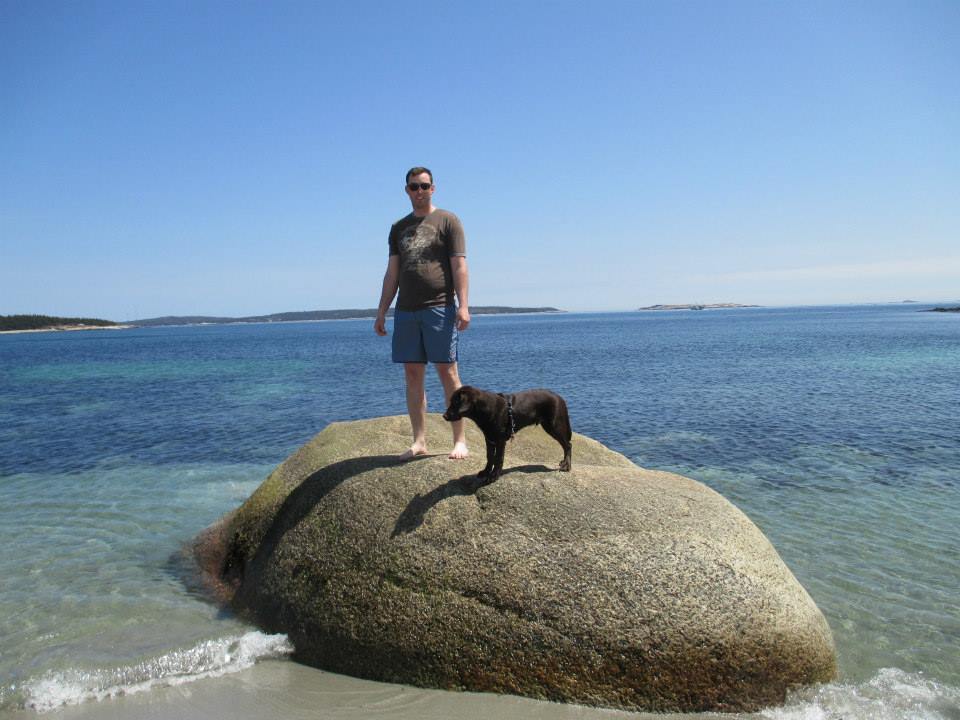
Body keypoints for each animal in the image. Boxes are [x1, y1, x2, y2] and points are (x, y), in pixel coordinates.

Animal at [444, 386, 572, 486]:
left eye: (455, 403)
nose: (444, 416)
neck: (485, 409)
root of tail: (560, 397)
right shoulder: (489, 438)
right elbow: (490, 457)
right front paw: (485, 472)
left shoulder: (500, 440)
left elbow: (498, 459)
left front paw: (493, 476)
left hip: (554, 426)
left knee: (568, 445)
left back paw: (566, 466)